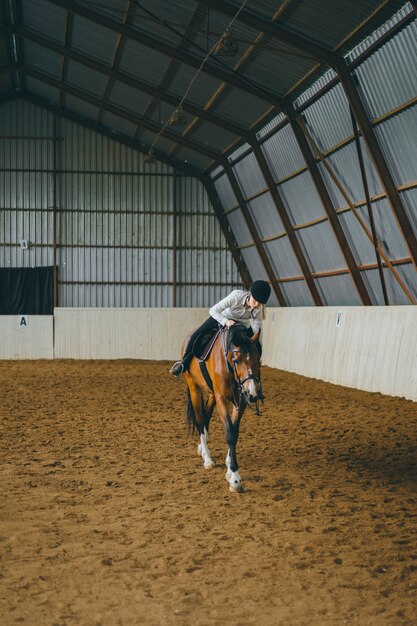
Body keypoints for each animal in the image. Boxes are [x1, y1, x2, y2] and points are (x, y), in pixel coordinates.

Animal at [184, 322, 262, 492]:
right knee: (200, 420)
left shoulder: (240, 400)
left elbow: (234, 431)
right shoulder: (221, 399)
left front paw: (229, 466)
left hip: (211, 394)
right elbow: (230, 433)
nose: (253, 393)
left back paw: (202, 448)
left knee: (206, 415)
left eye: (257, 358)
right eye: (236, 360)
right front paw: (235, 479)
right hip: (194, 389)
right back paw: (207, 459)